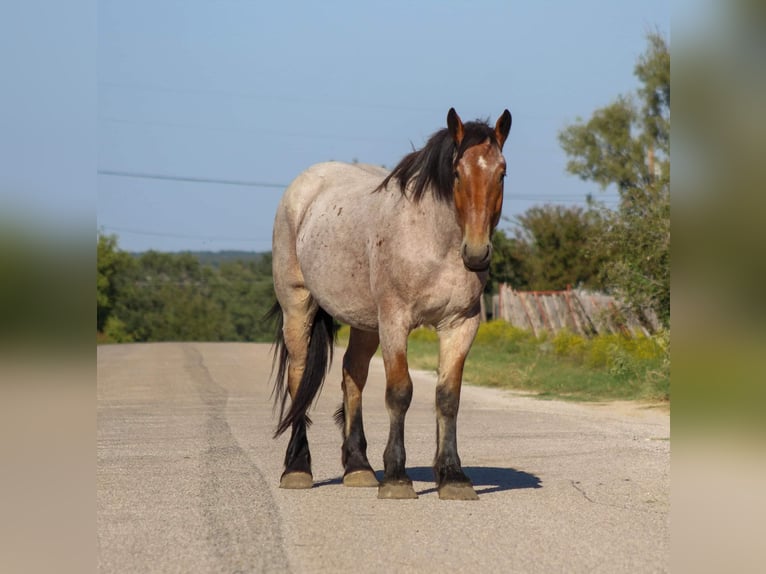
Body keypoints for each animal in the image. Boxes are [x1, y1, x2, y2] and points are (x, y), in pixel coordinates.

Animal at [268, 108, 512, 500]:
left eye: (501, 172)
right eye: (457, 172)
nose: (476, 254)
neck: (434, 240)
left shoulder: (460, 324)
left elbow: (448, 396)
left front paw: (453, 476)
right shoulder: (396, 322)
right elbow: (400, 392)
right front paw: (397, 477)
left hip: (365, 323)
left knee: (352, 376)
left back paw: (358, 468)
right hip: (298, 309)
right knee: (299, 377)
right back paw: (297, 468)